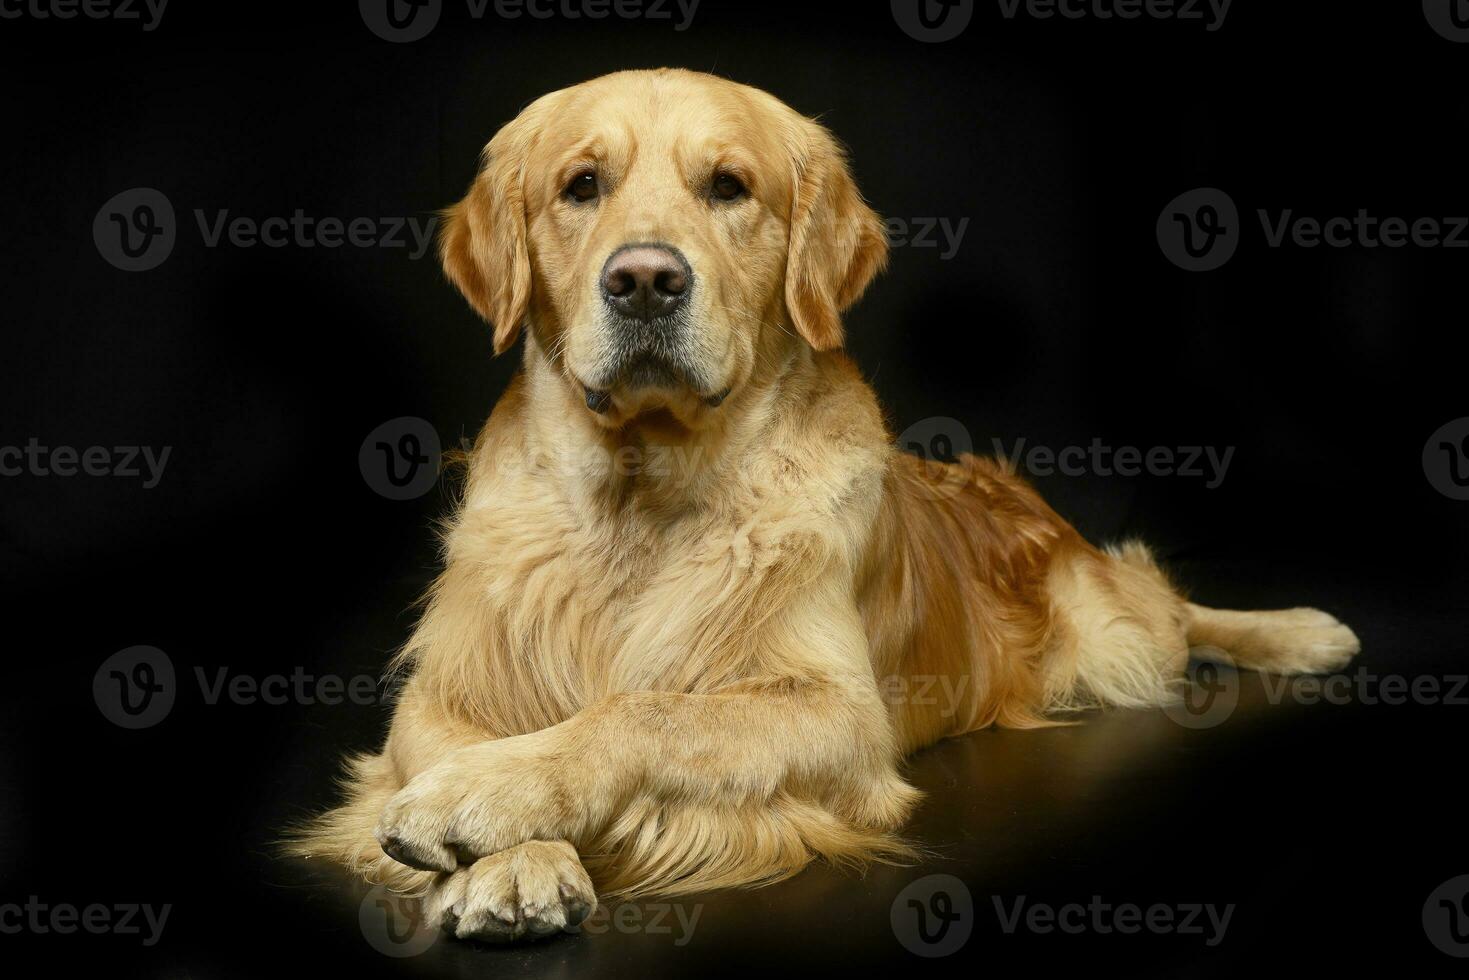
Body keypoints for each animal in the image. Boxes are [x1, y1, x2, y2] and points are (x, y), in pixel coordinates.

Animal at [289, 69, 1363, 940]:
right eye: (580, 186)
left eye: (728, 186)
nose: (644, 281)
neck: (641, 496)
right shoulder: (442, 694)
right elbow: (467, 740)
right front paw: (508, 856)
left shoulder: (839, 713)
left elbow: (646, 712)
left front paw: (483, 797)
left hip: (1113, 627)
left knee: (1173, 608)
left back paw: (1306, 632)